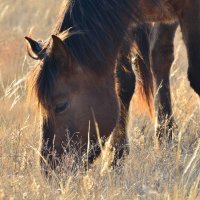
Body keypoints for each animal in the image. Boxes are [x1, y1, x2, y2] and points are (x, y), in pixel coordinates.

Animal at [25, 0, 200, 172]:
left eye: (61, 106)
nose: (49, 168)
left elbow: (196, 78)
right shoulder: (124, 22)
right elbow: (124, 82)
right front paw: (115, 158)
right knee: (160, 56)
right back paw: (165, 139)